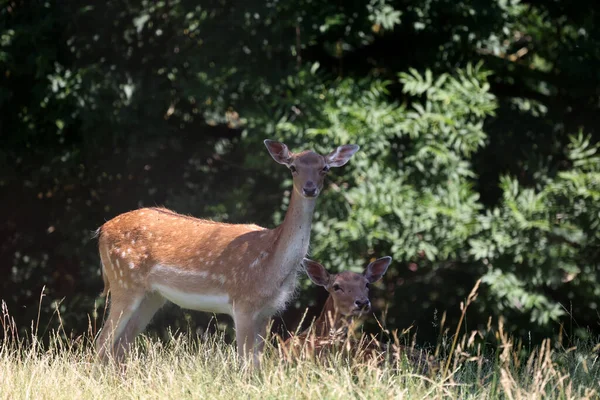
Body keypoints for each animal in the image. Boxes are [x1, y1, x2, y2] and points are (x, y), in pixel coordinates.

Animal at [93, 139, 356, 364]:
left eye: (325, 169)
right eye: (293, 167)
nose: (310, 189)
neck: (272, 264)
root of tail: (102, 230)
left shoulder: (268, 311)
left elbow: (258, 363)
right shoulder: (242, 303)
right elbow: (244, 362)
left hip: (152, 296)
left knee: (120, 346)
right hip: (124, 282)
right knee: (101, 343)